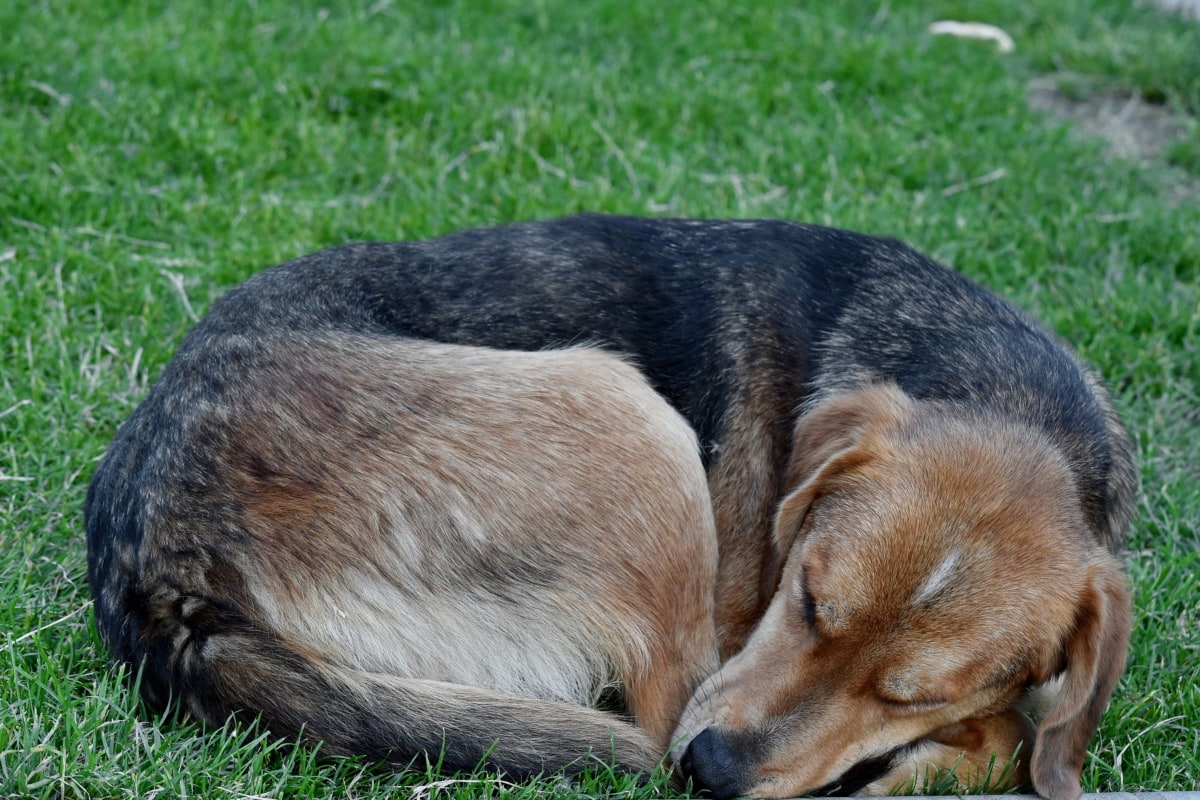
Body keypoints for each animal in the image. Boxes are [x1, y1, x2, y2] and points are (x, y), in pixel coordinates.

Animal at [84, 212, 1132, 800]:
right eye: (805, 599)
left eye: (914, 693)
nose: (711, 775)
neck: (1001, 393)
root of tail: (160, 569)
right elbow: (1012, 740)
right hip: (630, 419)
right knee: (664, 706)